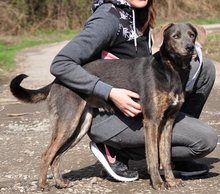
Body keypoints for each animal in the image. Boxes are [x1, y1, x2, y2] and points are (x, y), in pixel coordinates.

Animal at [9, 22, 206, 189]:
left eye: (192, 35)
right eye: (175, 36)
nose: (190, 47)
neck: (172, 69)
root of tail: (56, 80)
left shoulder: (168, 122)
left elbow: (165, 156)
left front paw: (171, 181)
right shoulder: (151, 121)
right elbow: (153, 156)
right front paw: (158, 183)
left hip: (80, 126)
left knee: (57, 156)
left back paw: (60, 182)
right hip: (68, 122)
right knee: (47, 154)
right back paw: (42, 185)